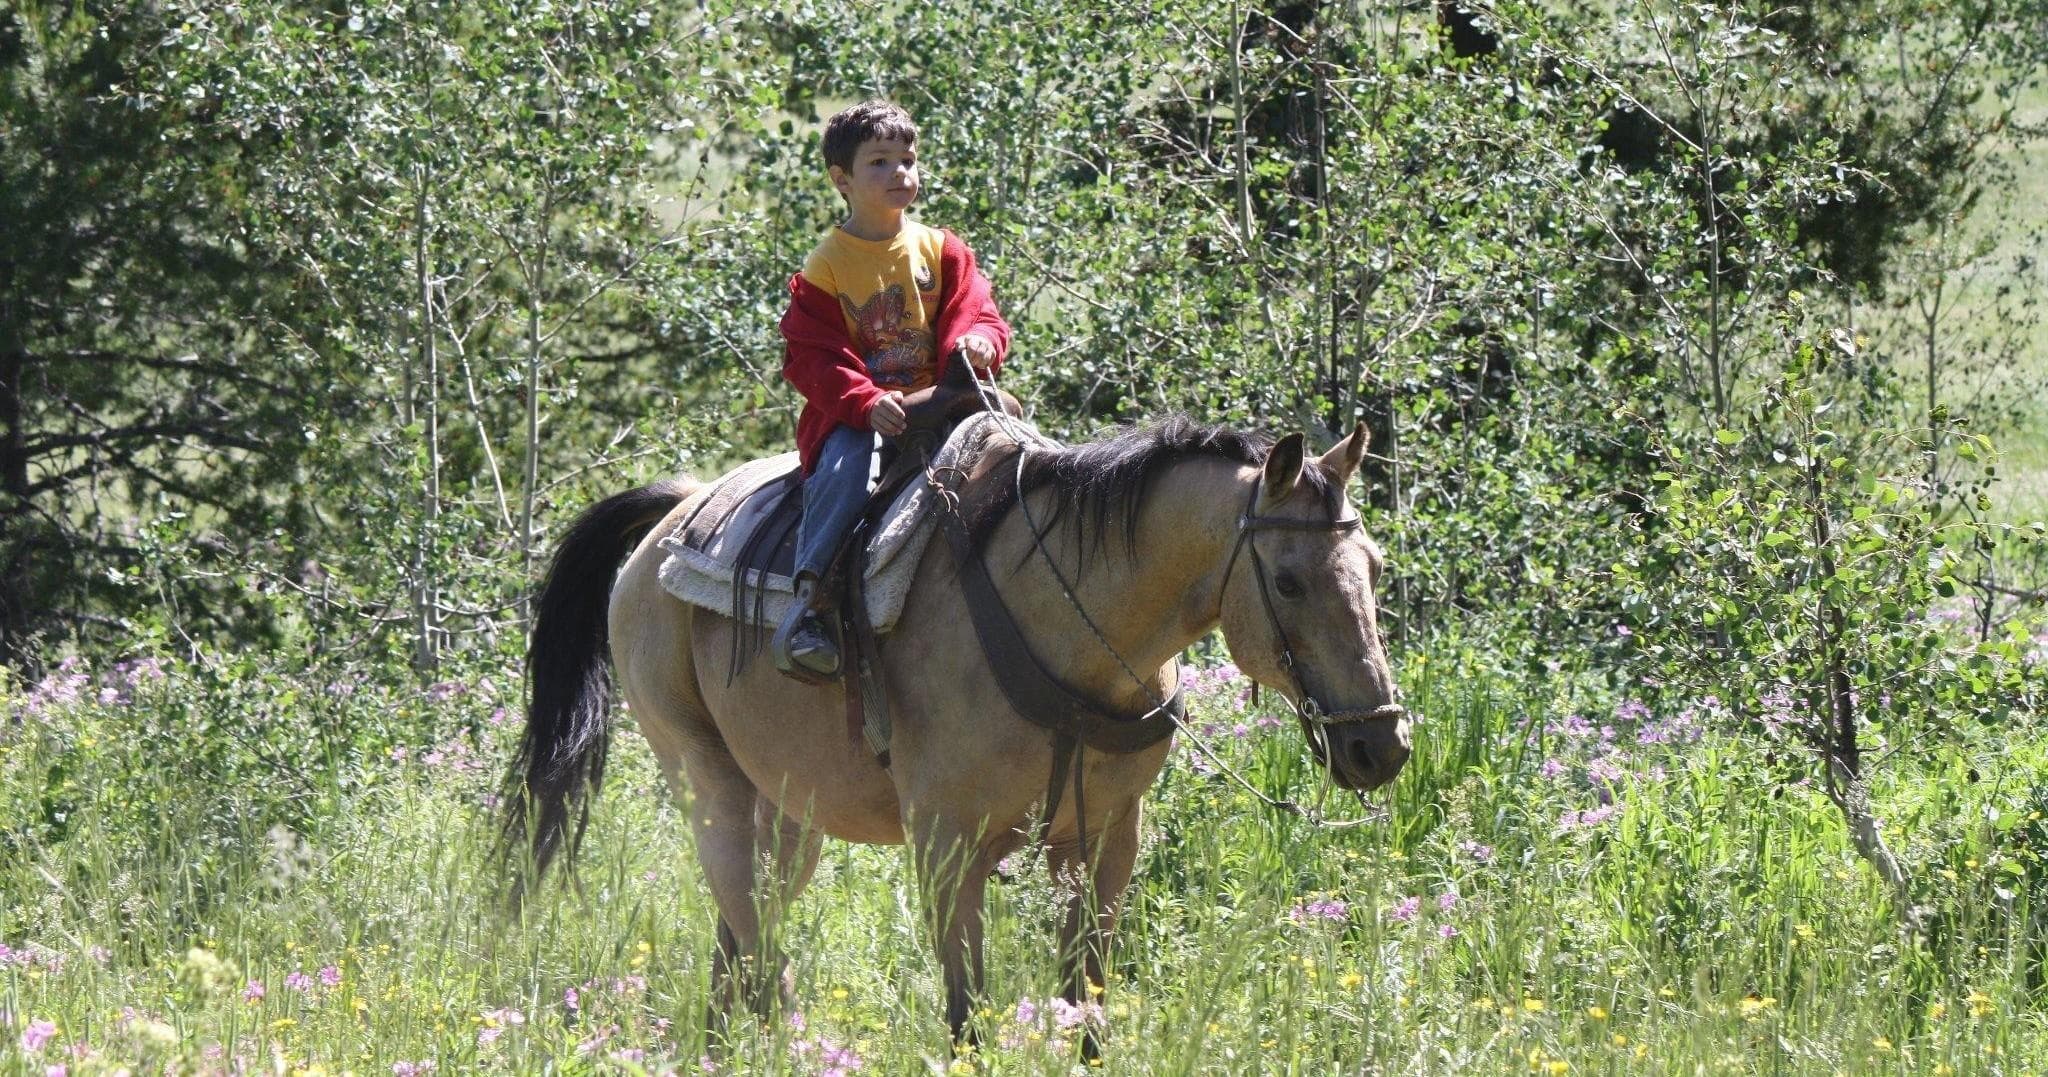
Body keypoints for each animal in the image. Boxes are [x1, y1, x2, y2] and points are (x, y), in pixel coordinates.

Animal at [501, 415, 1410, 1048]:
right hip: (704, 774)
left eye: (1373, 568)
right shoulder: (946, 843)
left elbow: (1087, 1007)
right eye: (1287, 581)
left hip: (787, 809)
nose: (1382, 744)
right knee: (757, 945)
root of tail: (678, 509)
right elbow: (966, 1013)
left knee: (741, 935)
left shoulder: (1106, 840)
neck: (1069, 626)